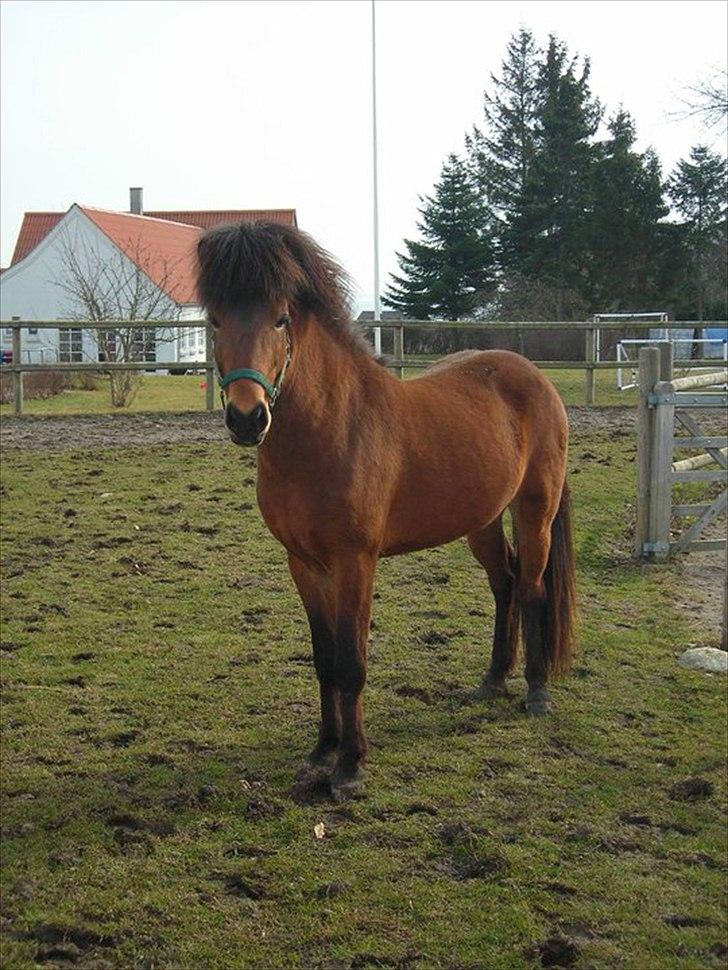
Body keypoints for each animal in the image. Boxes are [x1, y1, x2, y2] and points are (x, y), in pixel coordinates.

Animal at [196, 223, 576, 796]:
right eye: (215, 319)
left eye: (281, 317)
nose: (247, 418)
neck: (331, 429)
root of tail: (533, 375)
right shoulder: (303, 563)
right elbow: (324, 658)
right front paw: (323, 750)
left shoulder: (356, 561)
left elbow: (352, 661)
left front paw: (351, 765)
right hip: (482, 519)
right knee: (504, 582)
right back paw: (492, 680)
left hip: (535, 509)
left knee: (532, 589)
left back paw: (536, 693)